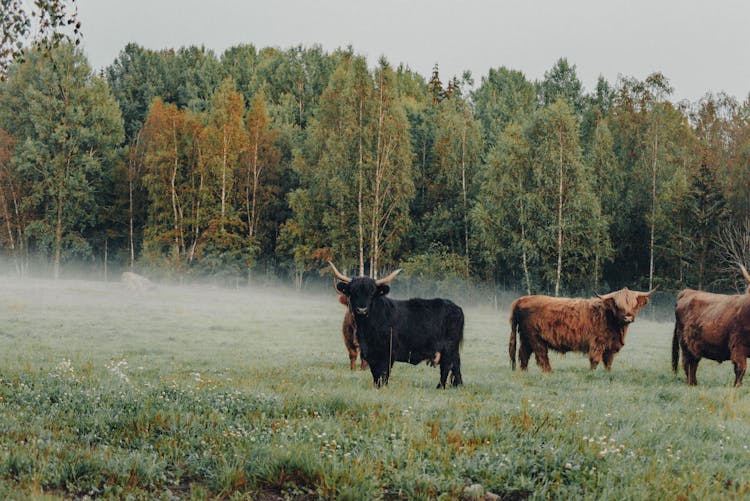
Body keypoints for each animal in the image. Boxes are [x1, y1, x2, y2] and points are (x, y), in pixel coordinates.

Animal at [512, 286, 656, 372]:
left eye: (634, 304)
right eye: (617, 304)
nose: (628, 317)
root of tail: (522, 299)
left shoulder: (610, 346)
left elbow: (608, 361)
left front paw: (608, 373)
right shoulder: (597, 343)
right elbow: (595, 360)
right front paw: (592, 374)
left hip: (526, 338)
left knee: (524, 354)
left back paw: (524, 372)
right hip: (535, 338)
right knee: (541, 356)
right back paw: (549, 372)